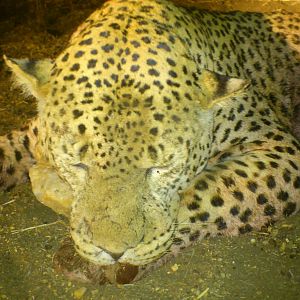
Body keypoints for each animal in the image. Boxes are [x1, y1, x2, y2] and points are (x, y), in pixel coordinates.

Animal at [0, 0, 300, 284]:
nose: (114, 252)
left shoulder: (279, 149)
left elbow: (208, 189)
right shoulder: (34, 136)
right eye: (77, 165)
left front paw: (90, 262)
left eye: (161, 168)